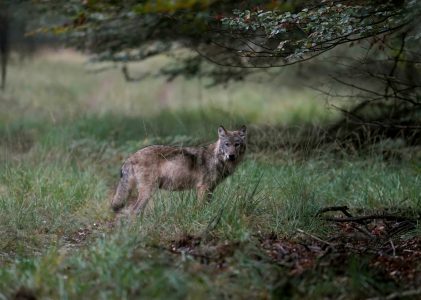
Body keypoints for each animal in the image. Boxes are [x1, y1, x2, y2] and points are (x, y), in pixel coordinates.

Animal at [111, 125, 246, 214]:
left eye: (237, 144)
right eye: (227, 144)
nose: (231, 156)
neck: (216, 158)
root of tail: (130, 157)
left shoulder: (210, 189)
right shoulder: (203, 188)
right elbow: (201, 207)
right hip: (148, 191)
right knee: (134, 211)